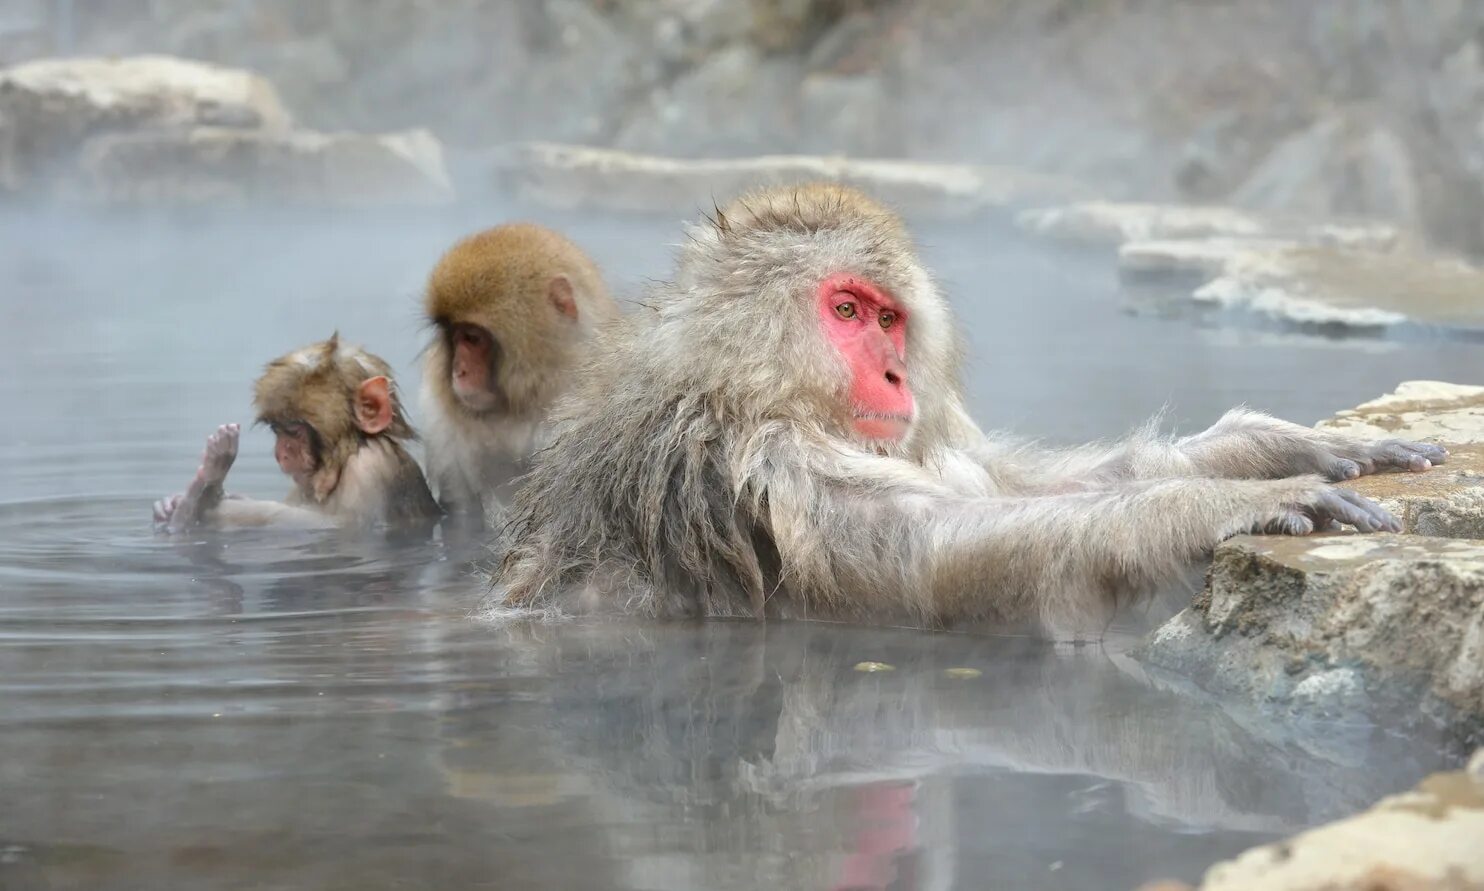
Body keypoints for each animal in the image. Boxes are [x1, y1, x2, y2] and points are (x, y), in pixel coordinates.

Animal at [153, 332, 439, 528]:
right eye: (277, 430)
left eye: (293, 430)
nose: (282, 453)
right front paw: (177, 503)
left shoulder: (370, 468)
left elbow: (340, 526)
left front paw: (205, 499)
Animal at [489, 184, 1448, 635]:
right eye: (845, 310)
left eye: (890, 319)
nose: (894, 375)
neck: (733, 384)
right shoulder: (759, 465)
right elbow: (942, 553)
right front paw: (1223, 504)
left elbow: (1002, 490)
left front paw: (1266, 448)